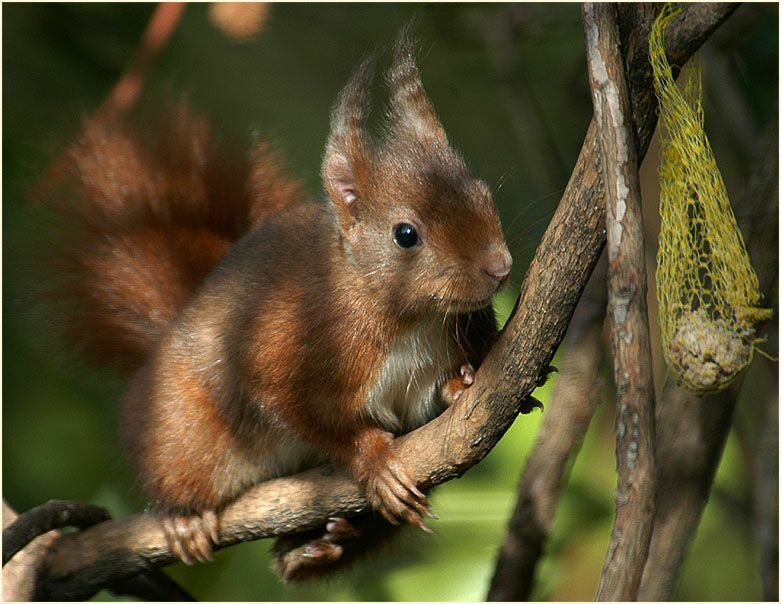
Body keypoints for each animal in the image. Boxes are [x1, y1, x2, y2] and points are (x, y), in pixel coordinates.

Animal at [46, 31, 512, 581]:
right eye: (406, 235)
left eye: (483, 193)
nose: (500, 267)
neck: (410, 318)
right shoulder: (285, 348)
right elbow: (305, 412)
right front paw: (371, 457)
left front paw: (462, 382)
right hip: (182, 430)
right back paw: (188, 517)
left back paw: (326, 542)